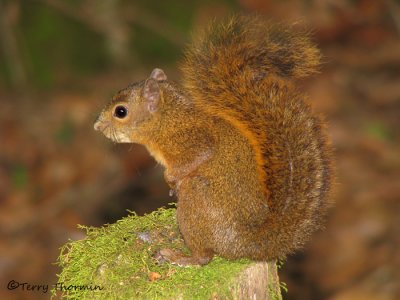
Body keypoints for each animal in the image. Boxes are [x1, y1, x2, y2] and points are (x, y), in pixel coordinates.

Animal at [93, 15, 332, 266]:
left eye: (121, 112)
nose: (97, 126)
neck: (167, 119)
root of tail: (245, 243)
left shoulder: (192, 138)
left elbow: (199, 155)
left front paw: (171, 179)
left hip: (197, 197)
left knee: (204, 257)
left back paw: (180, 257)